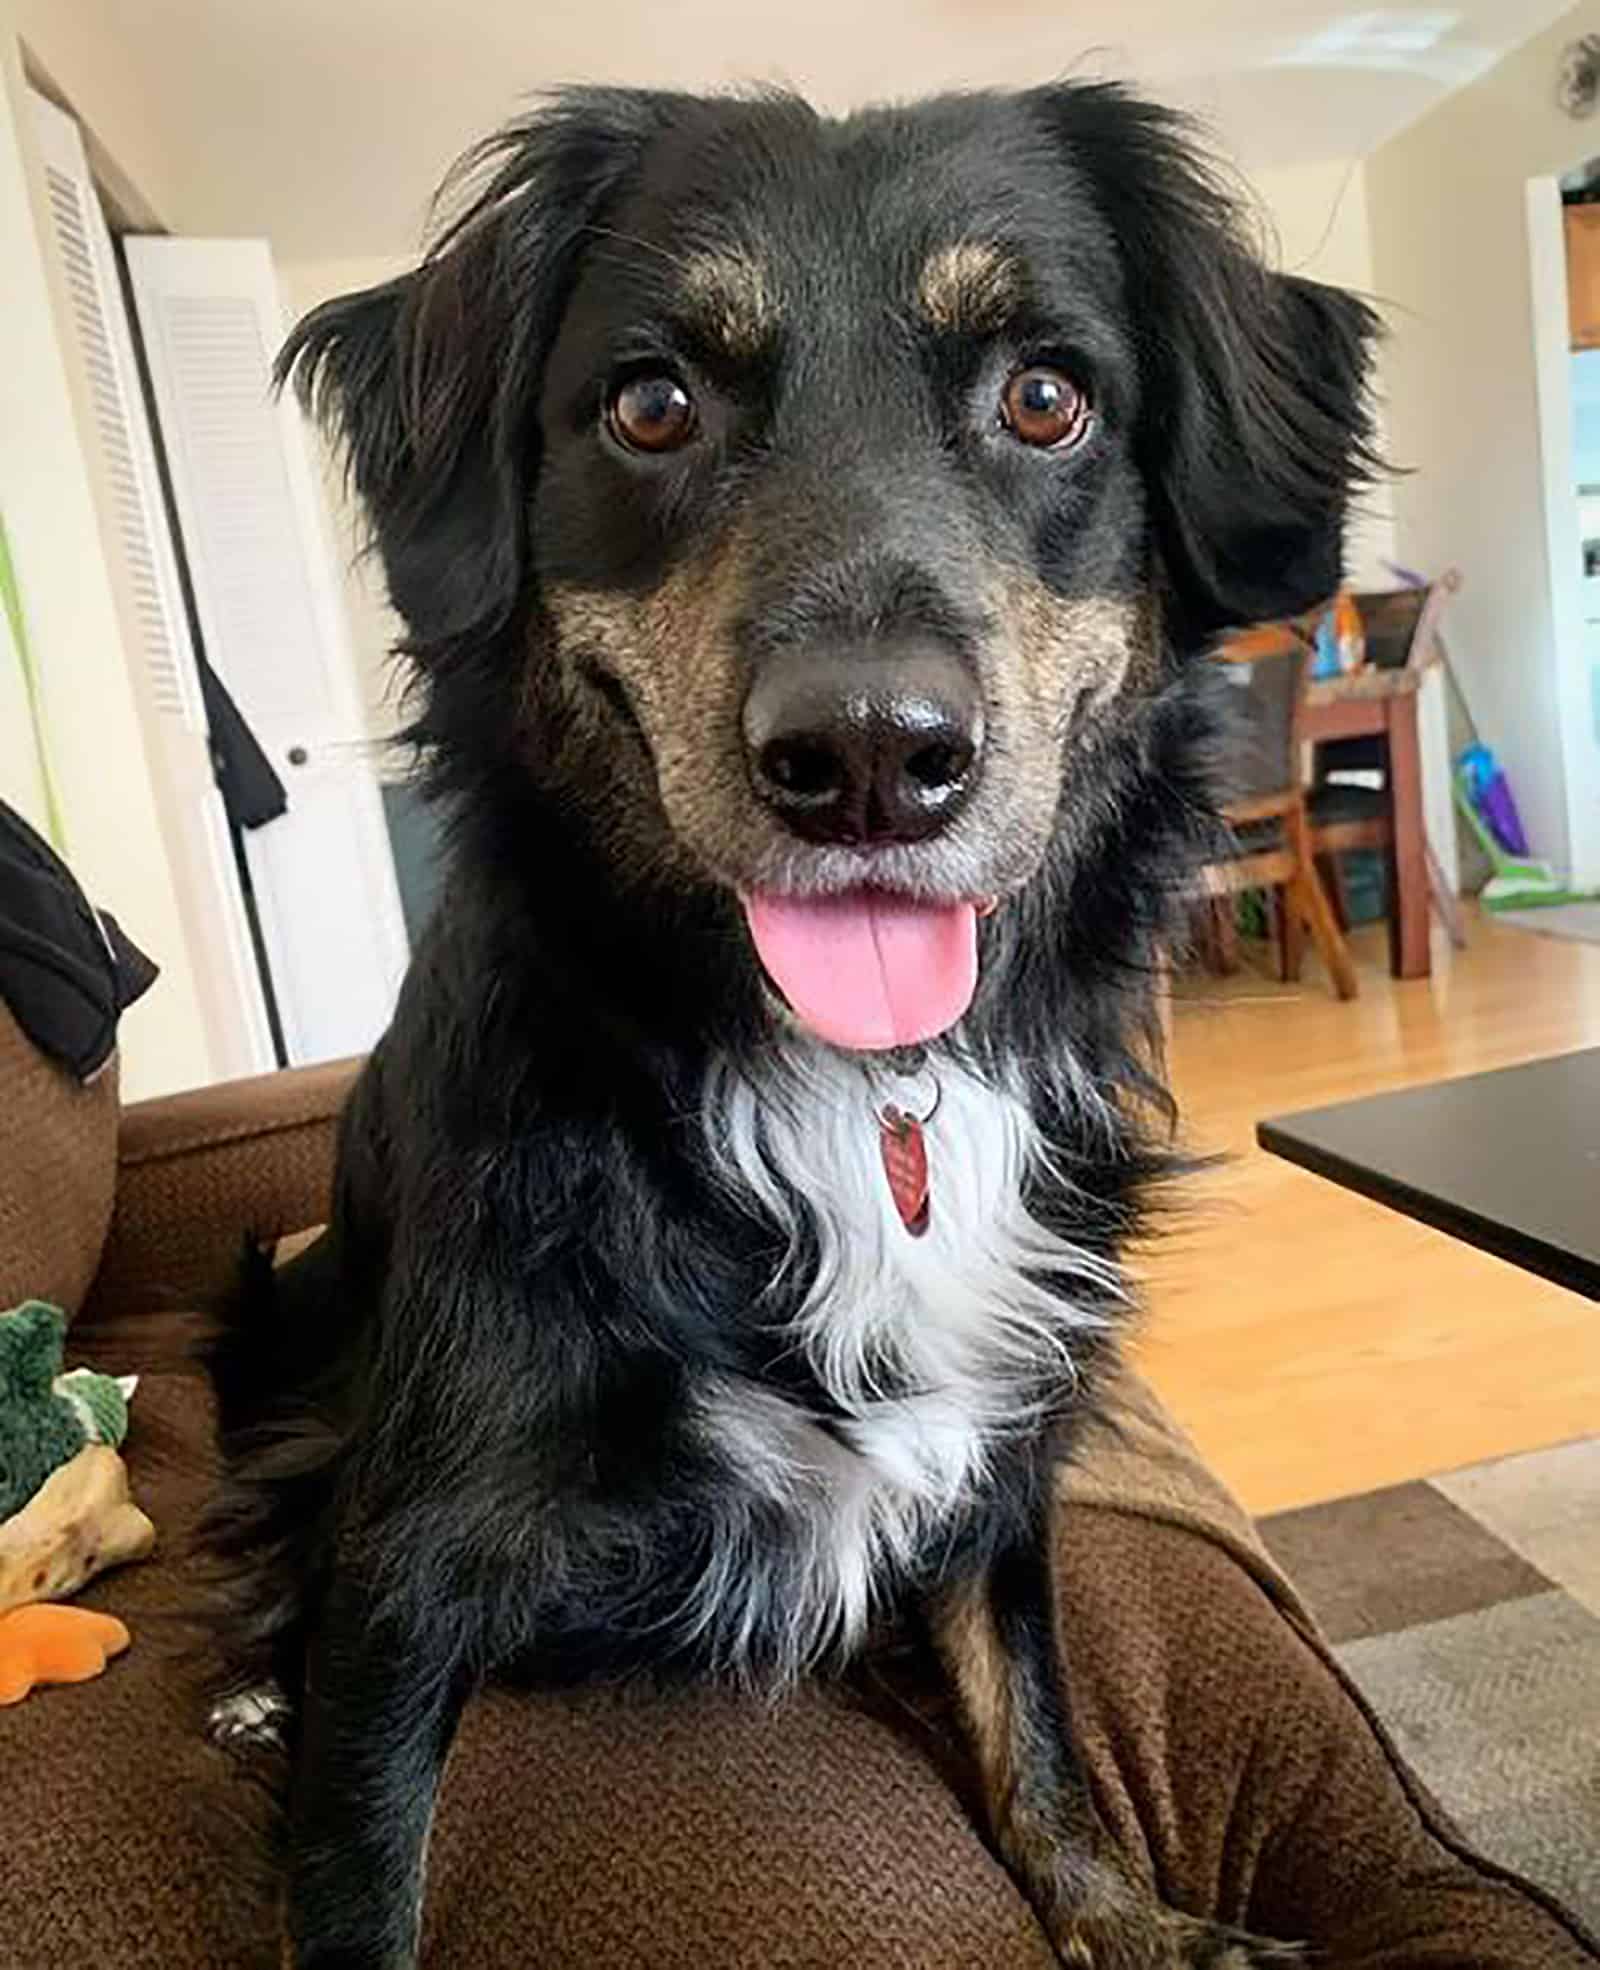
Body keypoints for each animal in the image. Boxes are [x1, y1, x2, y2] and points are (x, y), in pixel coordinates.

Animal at [200, 80, 1371, 1970]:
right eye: (652, 404)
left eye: (1046, 396)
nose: (873, 756)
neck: (844, 1086)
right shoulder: (409, 1557)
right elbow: (357, 1865)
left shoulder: (1000, 1449)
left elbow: (1035, 1710)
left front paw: (1128, 1919)